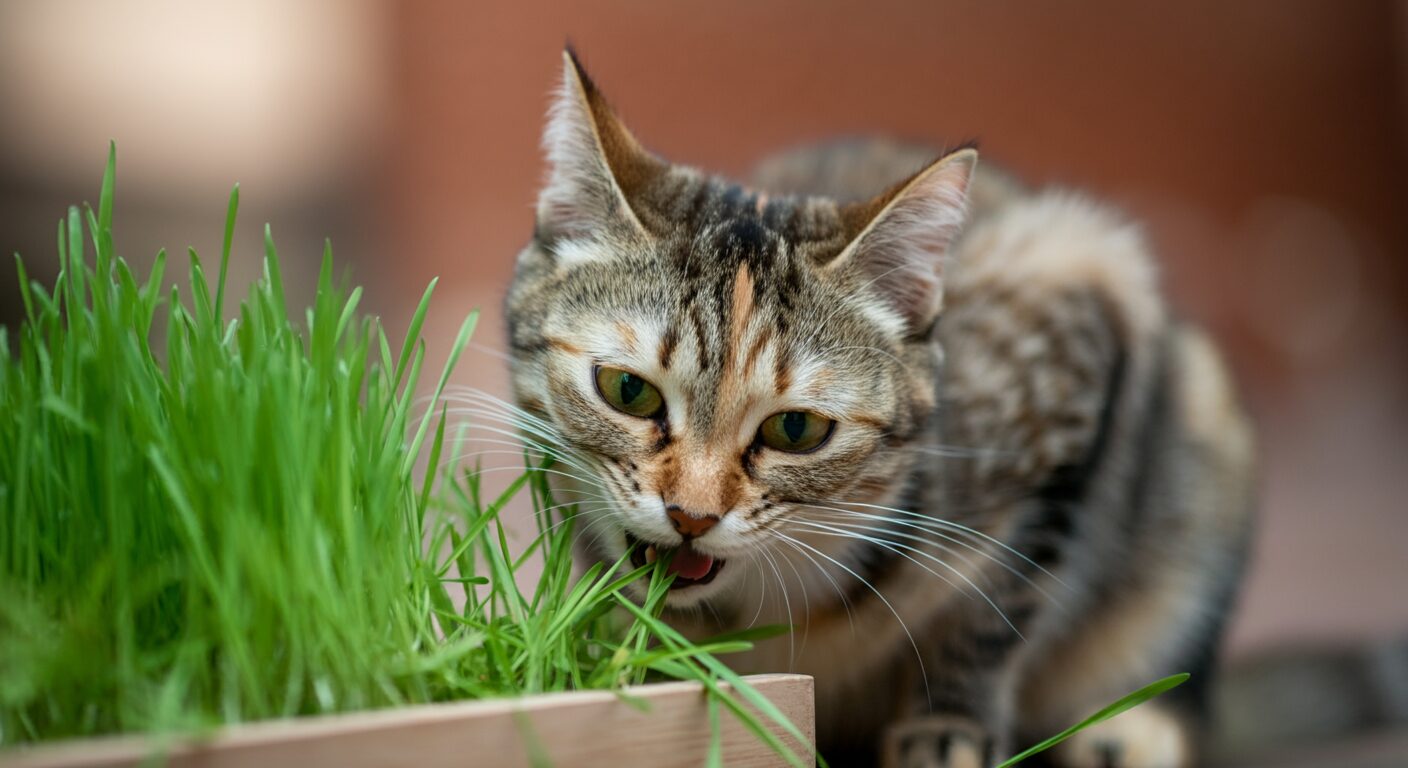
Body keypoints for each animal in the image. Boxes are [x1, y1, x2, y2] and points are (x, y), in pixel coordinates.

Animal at [504, 50, 1255, 760]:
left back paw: (1131, 727)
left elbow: (990, 615)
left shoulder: (1074, 304)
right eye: (628, 391)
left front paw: (947, 733)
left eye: (796, 428)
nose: (692, 517)